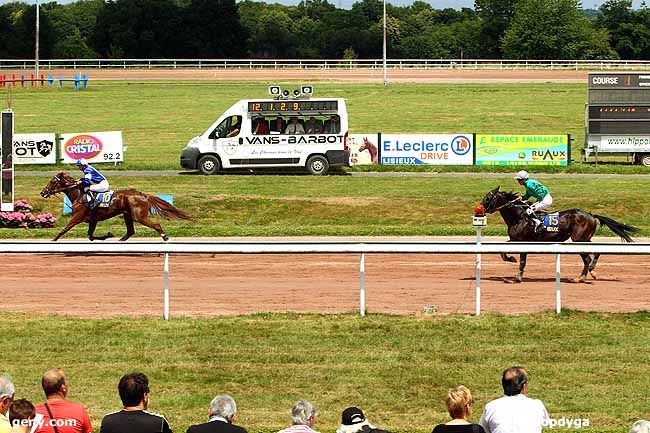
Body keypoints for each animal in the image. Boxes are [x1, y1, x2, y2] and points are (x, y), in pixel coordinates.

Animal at [40, 171, 191, 240]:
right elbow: (90, 235)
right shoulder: (92, 220)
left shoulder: (77, 218)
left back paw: (165, 236)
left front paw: (52, 241)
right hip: (127, 215)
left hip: (139, 216)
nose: (43, 192)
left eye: (52, 181)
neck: (79, 194)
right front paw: (107, 235)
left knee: (157, 225)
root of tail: (142, 194)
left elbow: (63, 230)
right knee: (130, 231)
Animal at [478, 186, 636, 284]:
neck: (519, 217)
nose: (479, 209)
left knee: (589, 257)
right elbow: (503, 250)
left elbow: (521, 261)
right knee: (591, 256)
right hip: (584, 239)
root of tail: (591, 215)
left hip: (579, 239)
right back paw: (583, 276)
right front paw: (511, 260)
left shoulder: (522, 241)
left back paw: (586, 274)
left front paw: (516, 276)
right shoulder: (514, 239)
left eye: (488, 198)